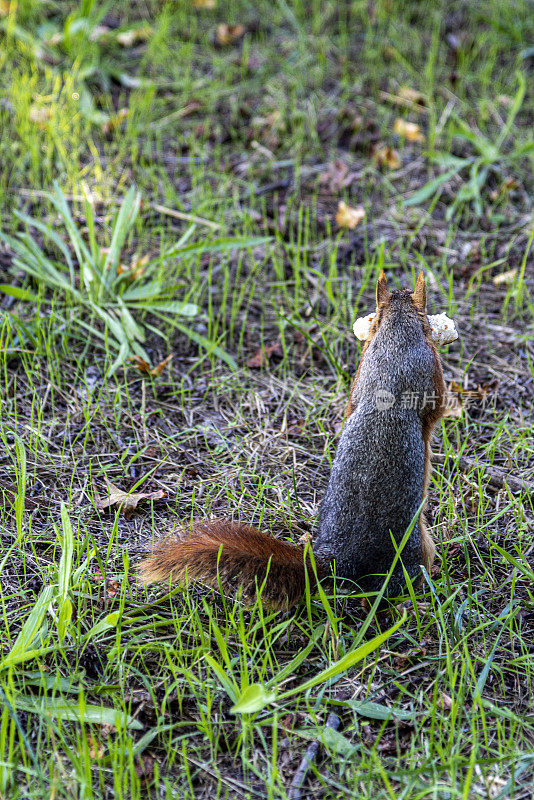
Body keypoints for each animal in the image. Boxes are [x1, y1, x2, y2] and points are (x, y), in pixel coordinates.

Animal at [139, 272, 448, 608]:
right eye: (426, 323)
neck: (396, 338)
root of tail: (339, 559)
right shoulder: (429, 371)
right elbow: (436, 407)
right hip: (417, 550)